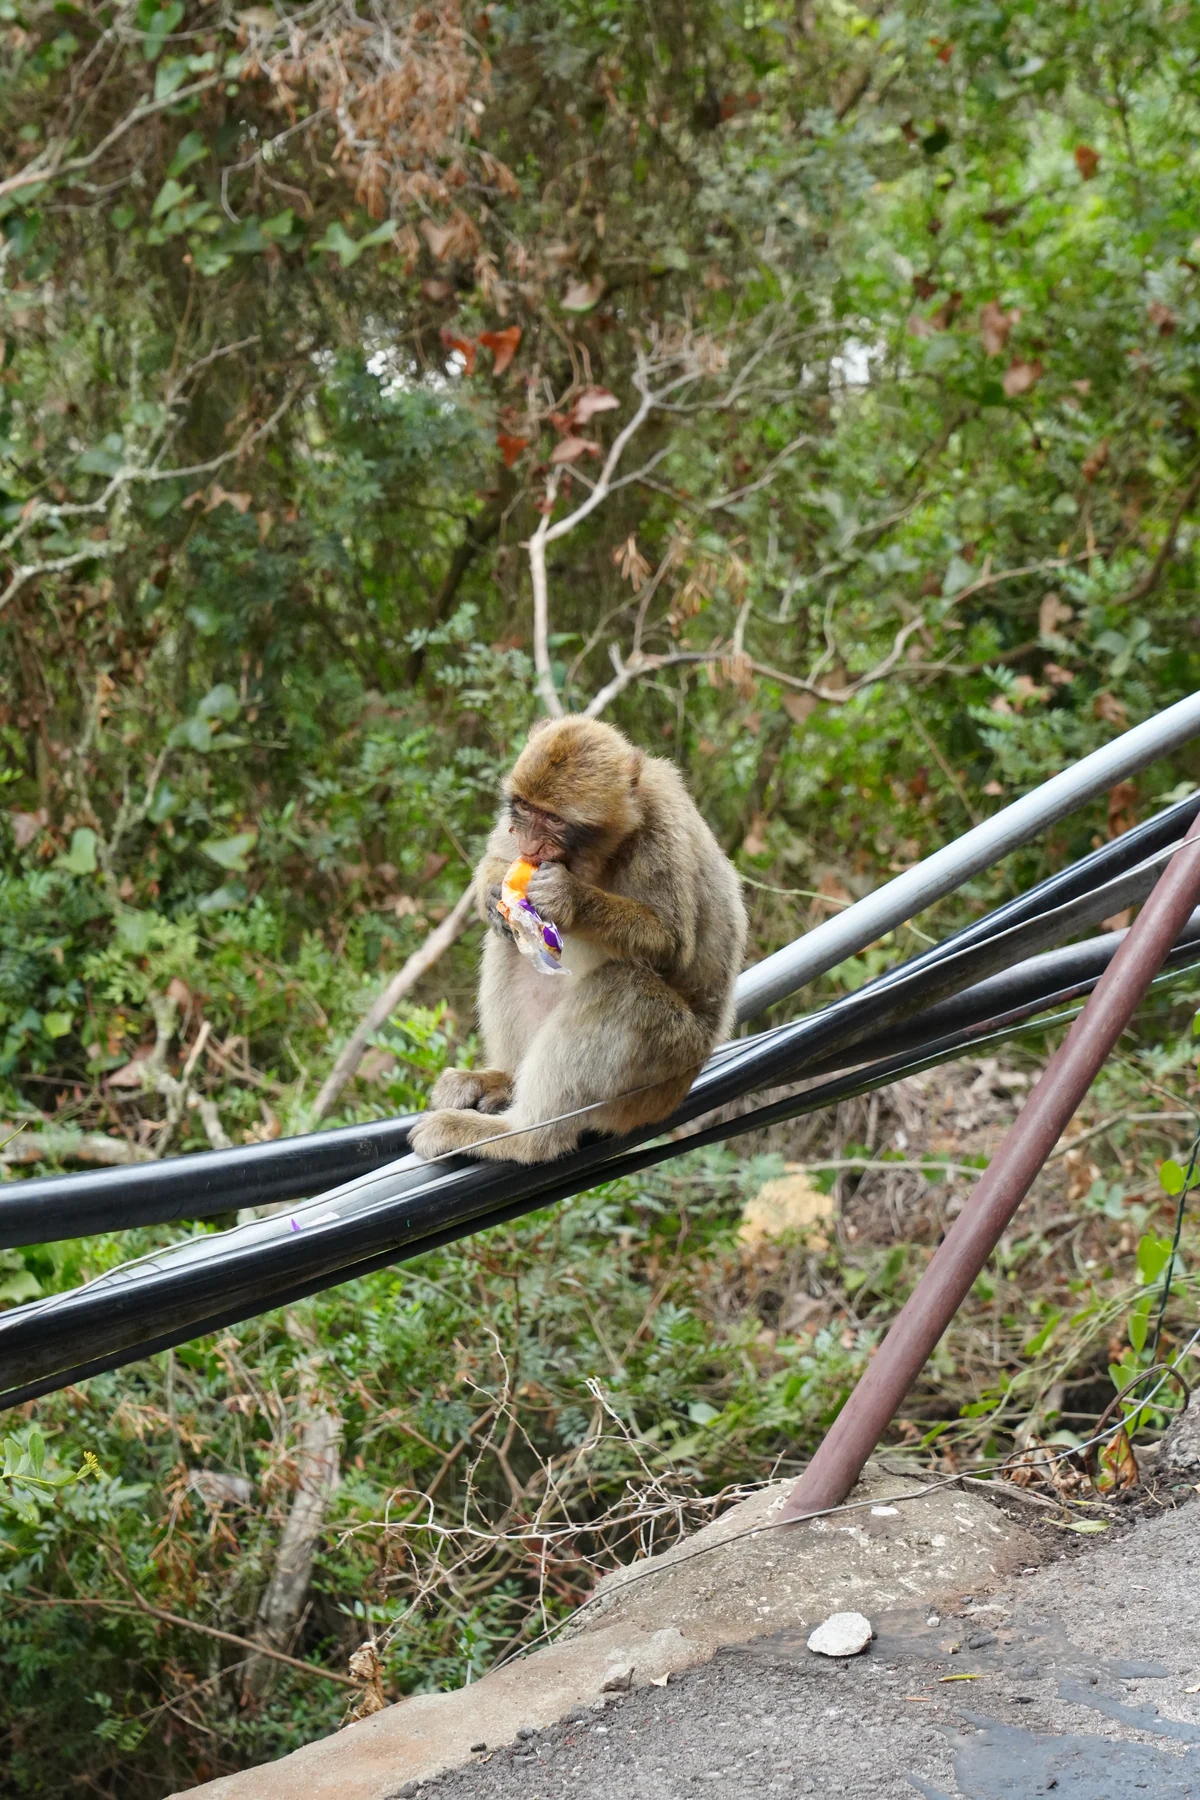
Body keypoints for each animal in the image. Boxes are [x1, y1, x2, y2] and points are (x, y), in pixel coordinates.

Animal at [407, 715, 748, 1166]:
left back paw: (520, 1137)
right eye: (525, 808)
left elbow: (672, 947)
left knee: (626, 988)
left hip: (663, 1072)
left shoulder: (662, 837)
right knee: (510, 944)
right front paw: (492, 889)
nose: (529, 845)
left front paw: (568, 897)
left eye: (554, 820)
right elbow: (499, 876)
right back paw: (503, 1078)